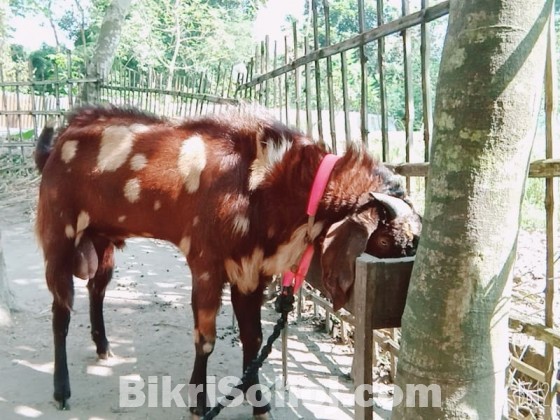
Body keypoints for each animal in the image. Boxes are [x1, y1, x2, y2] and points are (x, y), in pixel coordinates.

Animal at [35, 105, 420, 416]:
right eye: (397, 240)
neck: (264, 181)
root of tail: (54, 147)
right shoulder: (206, 265)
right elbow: (205, 339)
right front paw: (198, 404)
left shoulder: (251, 271)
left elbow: (253, 338)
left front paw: (259, 404)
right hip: (58, 236)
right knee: (60, 311)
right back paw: (61, 389)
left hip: (102, 241)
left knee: (97, 289)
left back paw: (103, 347)